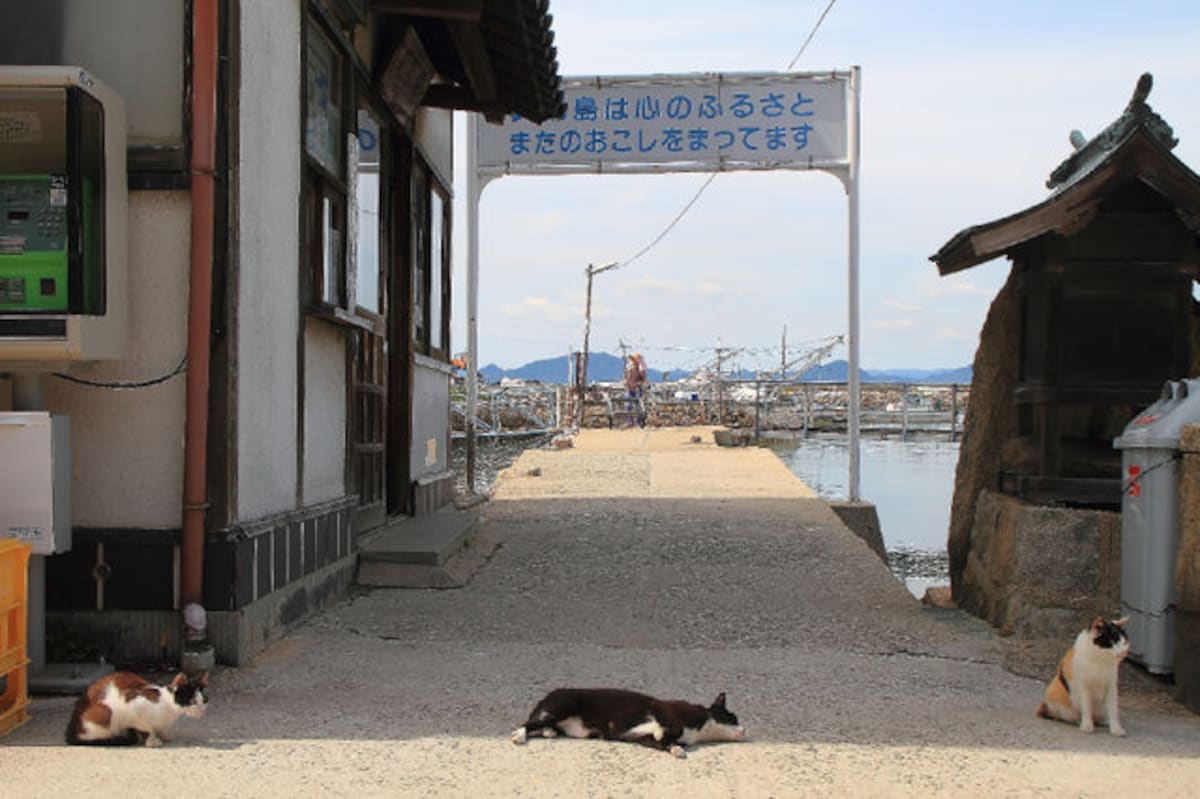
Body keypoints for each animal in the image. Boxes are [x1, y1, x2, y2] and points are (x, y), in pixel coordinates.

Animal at [65, 667, 208, 743]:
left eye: (204, 700)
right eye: (192, 701)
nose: (202, 711)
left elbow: (160, 729)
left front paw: (164, 735)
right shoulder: (132, 705)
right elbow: (146, 728)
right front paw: (152, 741)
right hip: (105, 711)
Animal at [506, 681, 739, 758]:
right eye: (734, 718)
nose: (744, 729)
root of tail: (549, 694)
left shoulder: (642, 738)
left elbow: (661, 743)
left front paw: (675, 748)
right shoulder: (663, 709)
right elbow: (671, 729)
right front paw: (668, 738)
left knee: (543, 724)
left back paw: (549, 732)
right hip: (564, 706)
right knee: (528, 723)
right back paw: (519, 736)